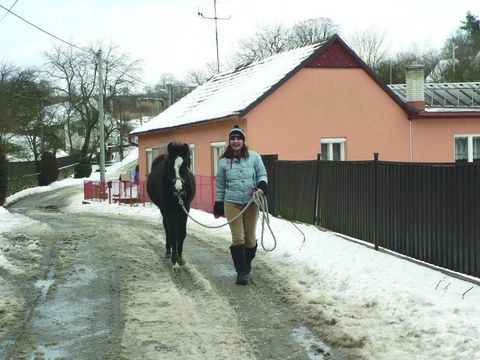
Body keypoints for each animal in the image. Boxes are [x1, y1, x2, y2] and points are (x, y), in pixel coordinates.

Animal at [148, 142, 197, 272]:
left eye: (185, 165)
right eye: (170, 166)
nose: (178, 188)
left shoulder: (185, 207)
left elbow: (182, 233)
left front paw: (180, 257)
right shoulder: (169, 209)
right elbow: (173, 233)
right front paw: (175, 262)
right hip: (163, 209)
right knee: (167, 228)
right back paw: (168, 252)